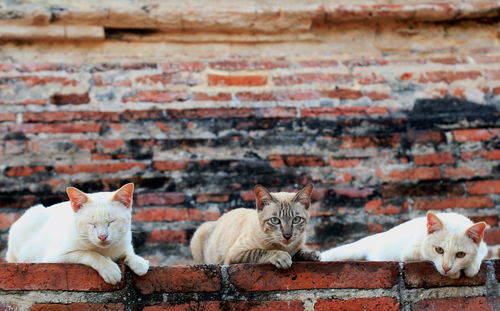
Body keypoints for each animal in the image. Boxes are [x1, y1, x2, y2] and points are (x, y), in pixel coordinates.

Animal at [5, 185, 148, 286]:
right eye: (92, 224)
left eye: (111, 222)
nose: (102, 236)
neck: (105, 250)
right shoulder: (55, 257)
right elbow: (89, 254)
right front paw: (109, 269)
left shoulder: (123, 243)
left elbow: (128, 253)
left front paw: (139, 262)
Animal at [191, 184, 320, 270]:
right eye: (275, 220)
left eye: (296, 220)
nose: (287, 235)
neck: (285, 247)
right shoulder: (235, 254)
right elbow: (260, 251)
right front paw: (281, 256)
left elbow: (300, 249)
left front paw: (312, 253)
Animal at [320, 212, 488, 280]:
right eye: (439, 250)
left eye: (460, 254)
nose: (447, 268)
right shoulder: (410, 251)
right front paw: (454, 273)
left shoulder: (484, 246)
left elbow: (480, 252)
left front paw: (472, 266)